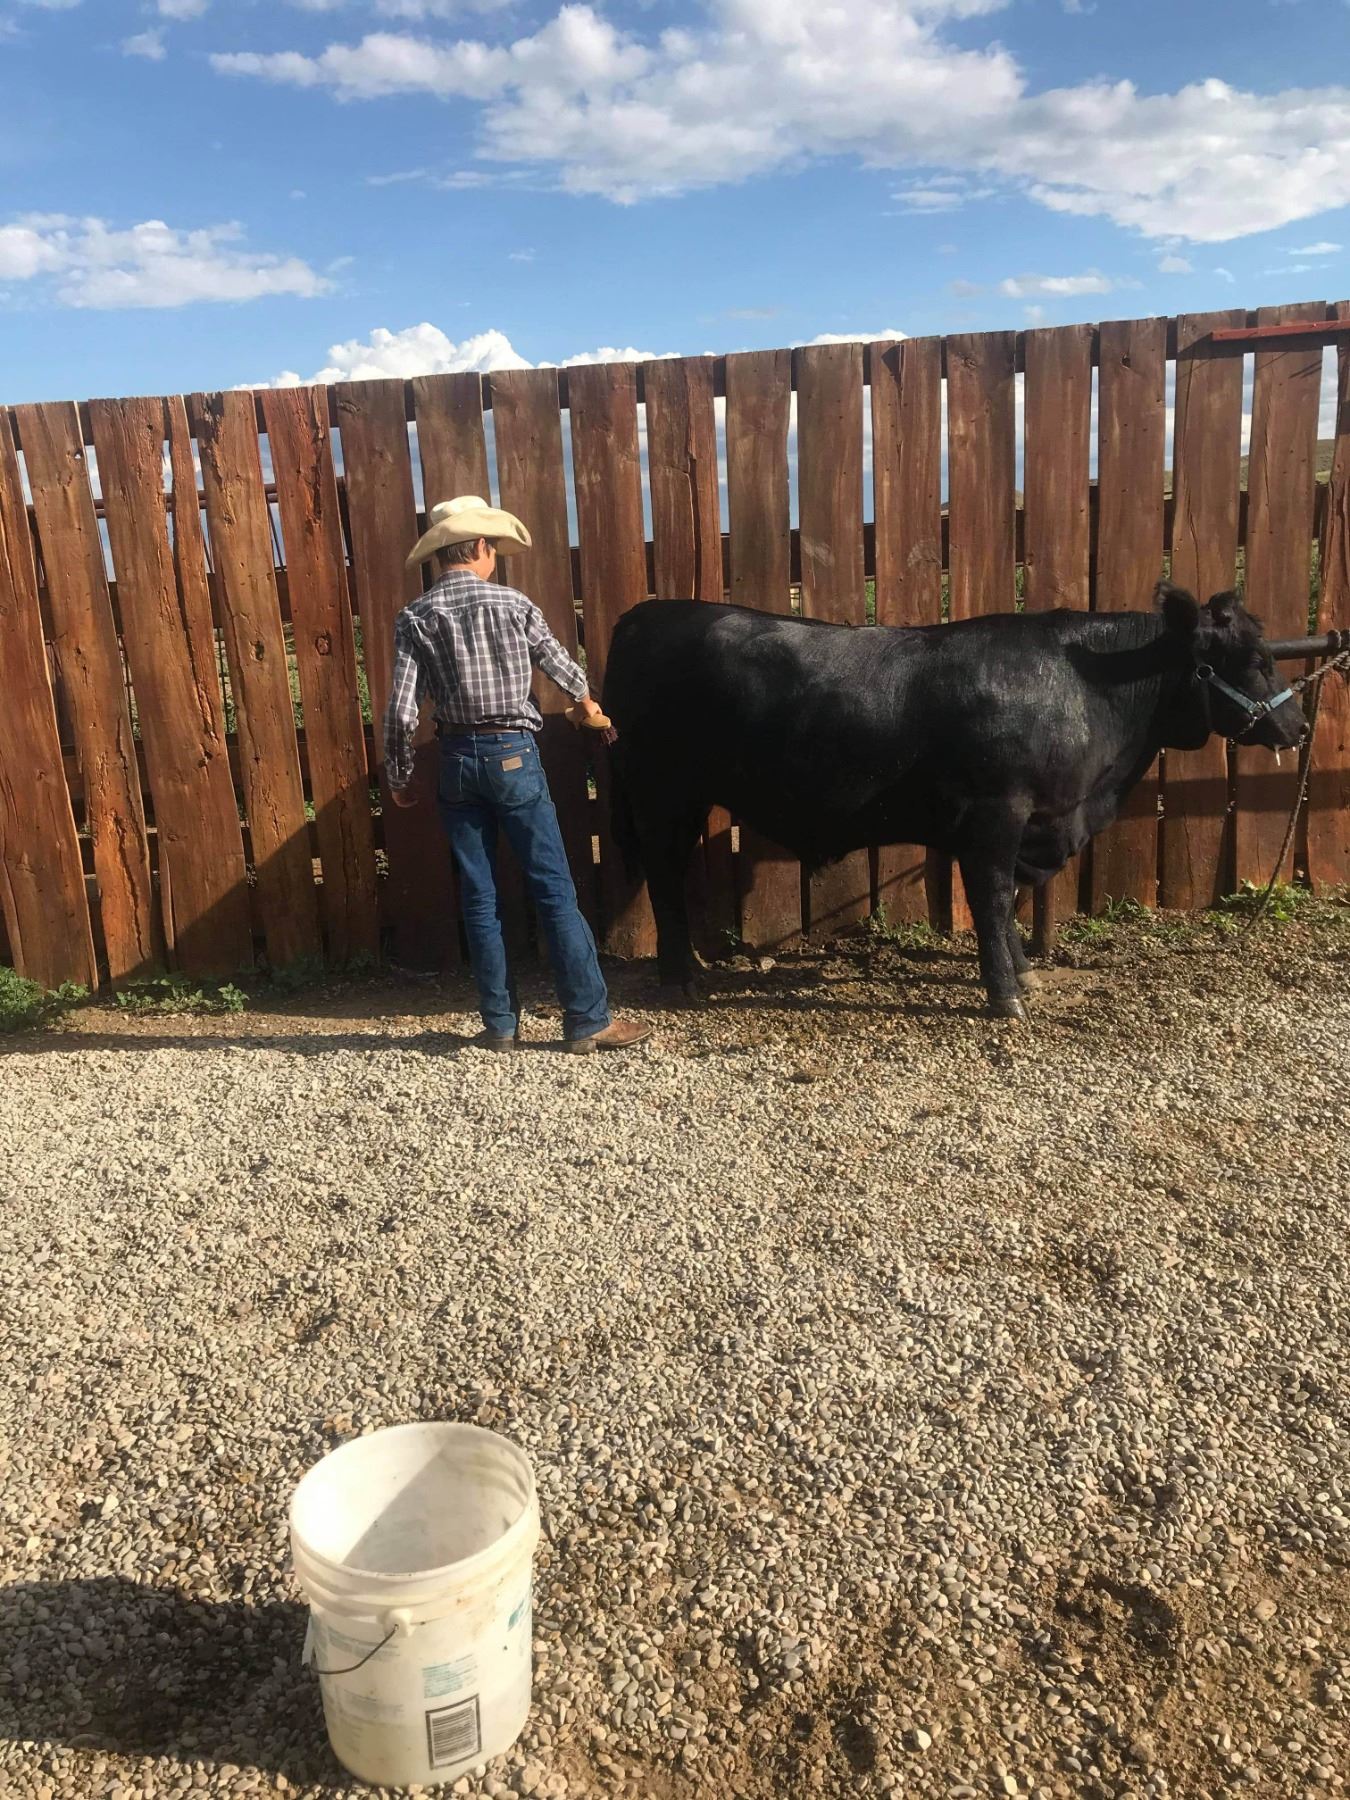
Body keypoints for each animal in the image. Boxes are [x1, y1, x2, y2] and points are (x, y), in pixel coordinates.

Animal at [601, 583, 1307, 1019]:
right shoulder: (997, 813)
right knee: (664, 876)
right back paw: (682, 977)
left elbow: (1010, 899)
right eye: (1252, 659)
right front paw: (1005, 996)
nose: (1299, 726)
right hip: (663, 793)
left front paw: (1025, 975)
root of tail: (645, 614)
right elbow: (992, 898)